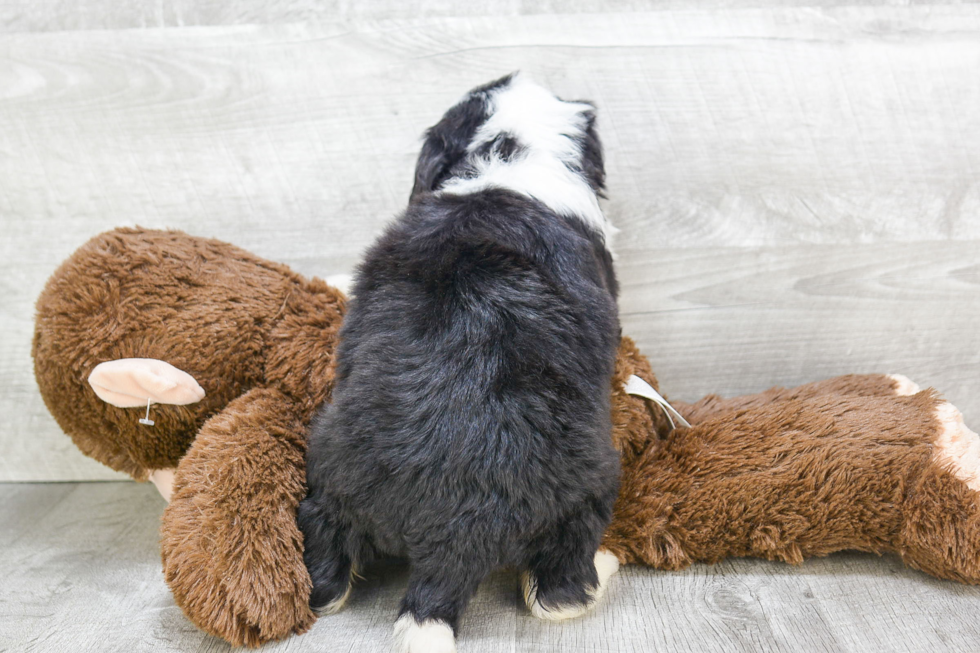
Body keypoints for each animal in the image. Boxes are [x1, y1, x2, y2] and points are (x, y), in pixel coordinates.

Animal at [296, 72, 620, 652]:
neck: (506, 155)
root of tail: (451, 542)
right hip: (590, 482)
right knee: (555, 592)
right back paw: (604, 569)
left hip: (329, 467)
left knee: (326, 575)